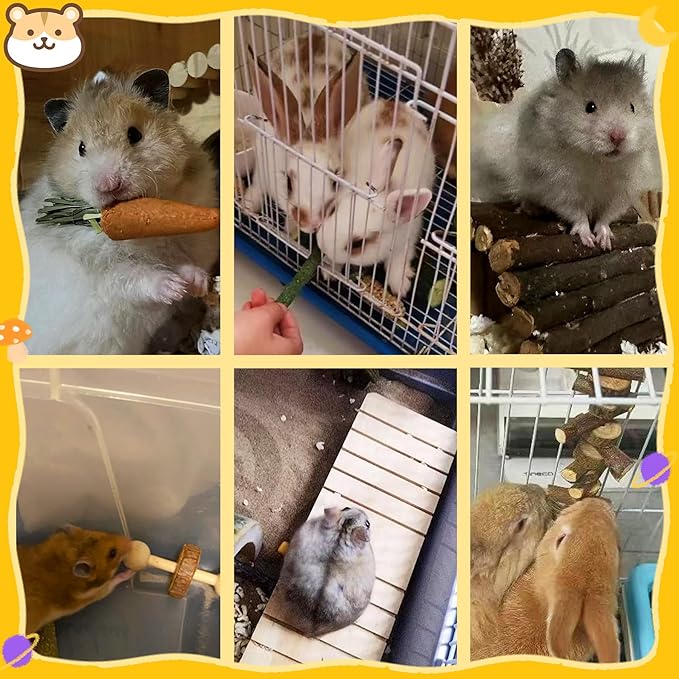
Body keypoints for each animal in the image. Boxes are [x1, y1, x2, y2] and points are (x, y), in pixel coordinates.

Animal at [21, 69, 219, 354]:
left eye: (134, 135)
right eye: (81, 148)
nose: (109, 185)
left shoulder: (185, 242)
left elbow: (184, 261)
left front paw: (195, 284)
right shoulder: (101, 264)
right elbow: (136, 276)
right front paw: (173, 287)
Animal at [243, 32, 368, 234]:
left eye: (335, 182)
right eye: (288, 183)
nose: (311, 223)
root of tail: (316, 34)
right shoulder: (262, 162)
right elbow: (257, 185)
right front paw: (247, 206)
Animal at [316, 98, 436, 298]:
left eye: (358, 244)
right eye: (333, 210)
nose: (322, 244)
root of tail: (395, 104)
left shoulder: (407, 239)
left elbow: (398, 261)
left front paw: (400, 286)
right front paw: (329, 270)